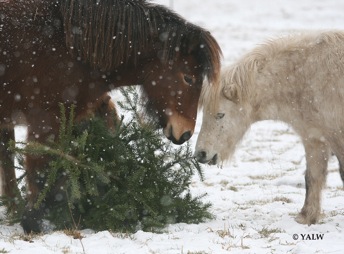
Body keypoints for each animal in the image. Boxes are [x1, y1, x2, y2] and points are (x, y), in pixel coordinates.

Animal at [0, 0, 222, 233]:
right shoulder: (45, 120)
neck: (70, 48)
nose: (185, 133)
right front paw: (33, 221)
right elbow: (41, 168)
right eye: (188, 78)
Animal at [194, 30, 344, 225]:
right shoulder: (314, 138)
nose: (200, 154)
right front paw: (306, 217)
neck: (307, 76)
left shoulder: (337, 138)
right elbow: (313, 177)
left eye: (220, 114)